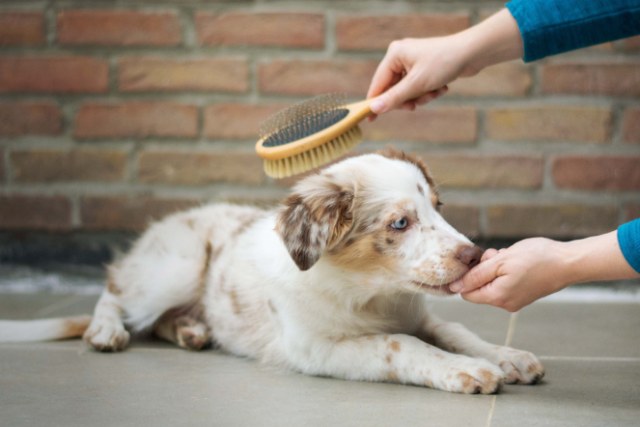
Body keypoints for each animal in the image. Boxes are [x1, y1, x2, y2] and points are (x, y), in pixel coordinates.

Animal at [0, 150, 544, 394]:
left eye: (438, 207)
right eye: (400, 223)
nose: (475, 256)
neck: (370, 295)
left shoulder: (420, 315)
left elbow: (454, 330)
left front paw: (508, 357)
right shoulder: (315, 348)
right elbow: (399, 346)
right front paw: (466, 370)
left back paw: (193, 331)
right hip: (173, 267)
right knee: (113, 292)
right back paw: (106, 331)